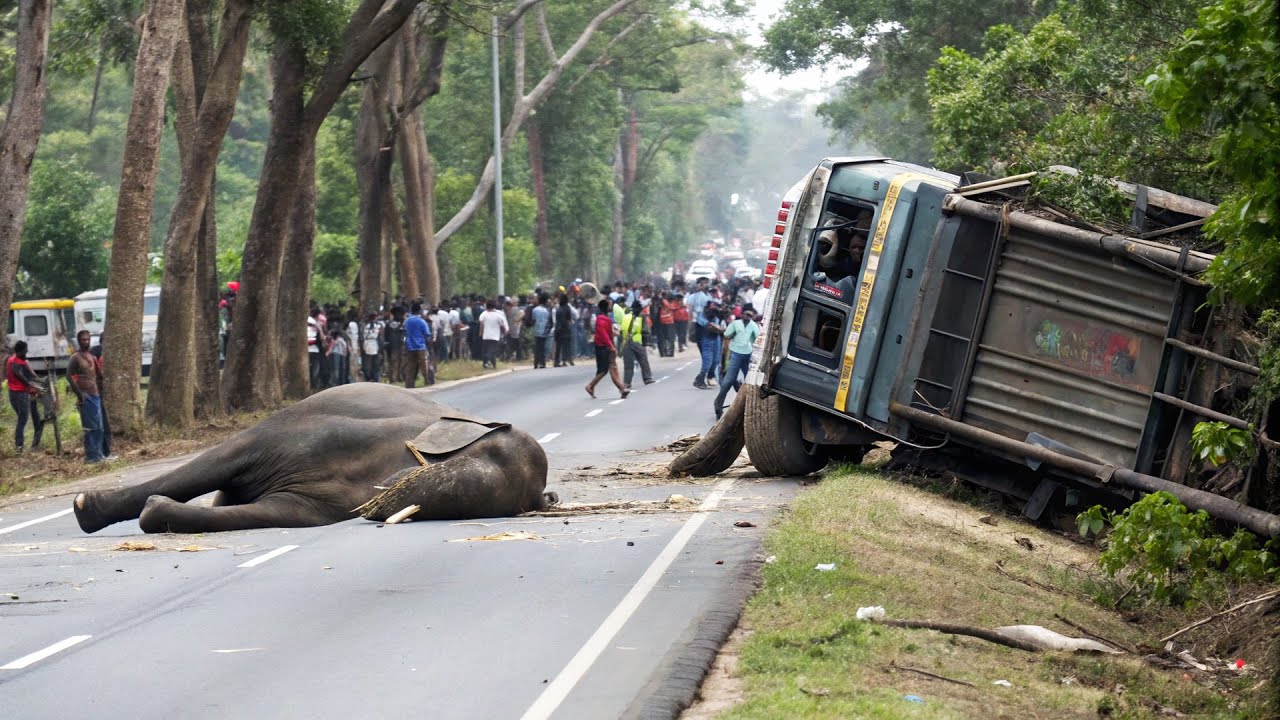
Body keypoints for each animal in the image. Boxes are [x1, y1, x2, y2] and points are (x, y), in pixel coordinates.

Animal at [72, 384, 553, 534]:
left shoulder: (324, 507)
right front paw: (83, 505)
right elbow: (225, 457)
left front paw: (156, 512)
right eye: (487, 451)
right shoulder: (316, 430)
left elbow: (277, 512)